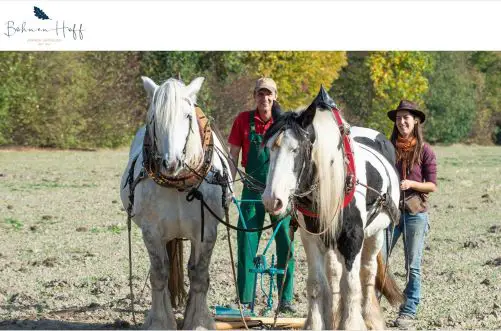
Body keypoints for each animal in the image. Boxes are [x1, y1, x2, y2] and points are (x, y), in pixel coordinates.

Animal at [120, 77, 231, 330]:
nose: (171, 163)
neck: (179, 182)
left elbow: (199, 274)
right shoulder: (151, 231)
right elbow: (159, 273)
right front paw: (160, 322)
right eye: (154, 117)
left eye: (187, 116)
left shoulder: (206, 231)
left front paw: (198, 322)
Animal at [262, 87, 402, 330]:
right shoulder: (311, 237)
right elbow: (317, 284)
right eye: (269, 148)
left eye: (296, 149)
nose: (272, 200)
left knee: (367, 273)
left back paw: (370, 318)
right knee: (334, 275)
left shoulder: (353, 238)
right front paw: (317, 323)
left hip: (375, 234)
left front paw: (351, 324)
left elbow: (352, 285)